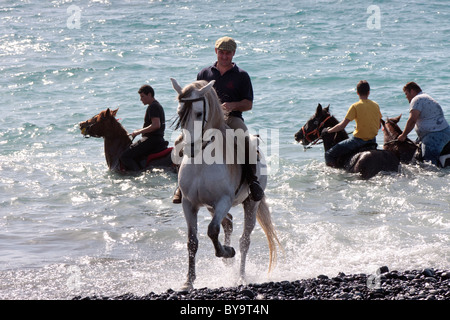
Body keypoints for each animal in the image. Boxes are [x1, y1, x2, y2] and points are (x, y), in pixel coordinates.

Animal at [171, 78, 280, 290]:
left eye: (199, 113)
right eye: (180, 113)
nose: (190, 148)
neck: (201, 163)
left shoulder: (223, 201)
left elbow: (212, 230)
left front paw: (227, 252)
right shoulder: (189, 204)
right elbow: (192, 241)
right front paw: (188, 281)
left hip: (251, 203)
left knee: (244, 240)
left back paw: (241, 276)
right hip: (211, 206)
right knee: (228, 222)